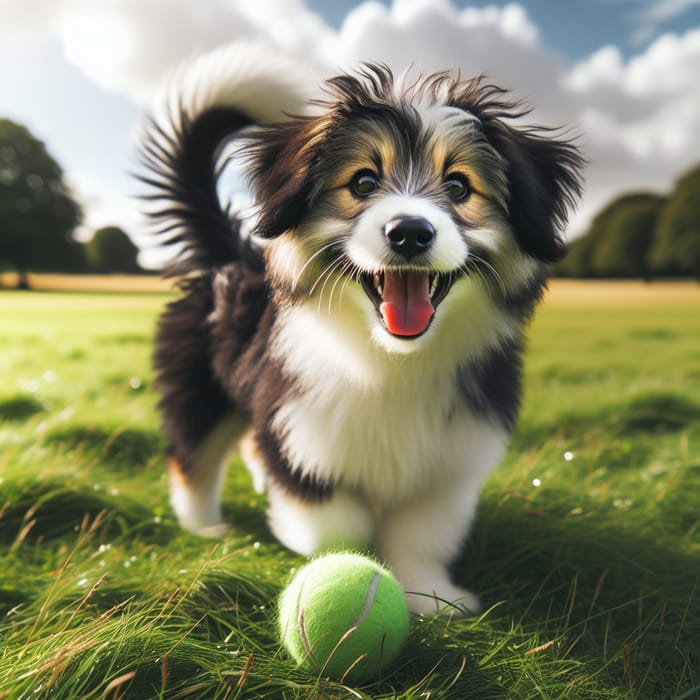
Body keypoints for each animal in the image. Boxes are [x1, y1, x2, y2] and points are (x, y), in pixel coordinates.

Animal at [139, 42, 584, 612]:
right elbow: (336, 526)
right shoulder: (303, 438)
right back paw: (203, 528)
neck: (393, 360)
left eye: (459, 186)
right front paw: (342, 576)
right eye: (363, 182)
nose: (410, 232)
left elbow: (422, 533)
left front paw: (430, 597)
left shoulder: (449, 462)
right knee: (194, 455)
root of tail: (230, 253)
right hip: (200, 387)